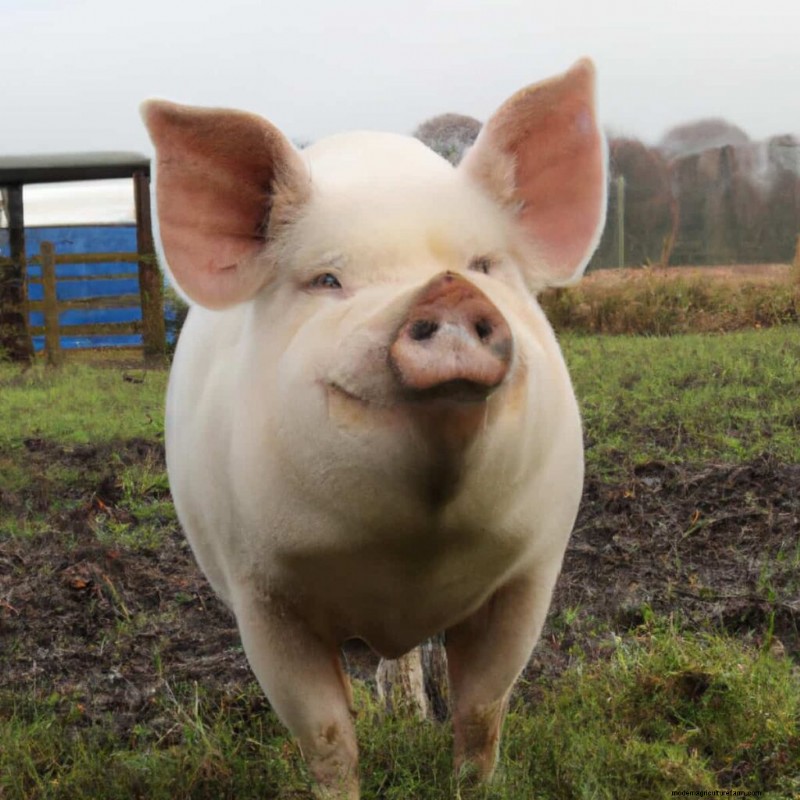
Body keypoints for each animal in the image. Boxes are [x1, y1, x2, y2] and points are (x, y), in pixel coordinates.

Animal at [141, 58, 606, 799]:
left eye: (485, 266)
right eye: (328, 279)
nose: (447, 288)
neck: (412, 548)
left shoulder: (531, 572)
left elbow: (483, 712)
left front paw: (468, 778)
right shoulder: (261, 595)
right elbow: (328, 737)